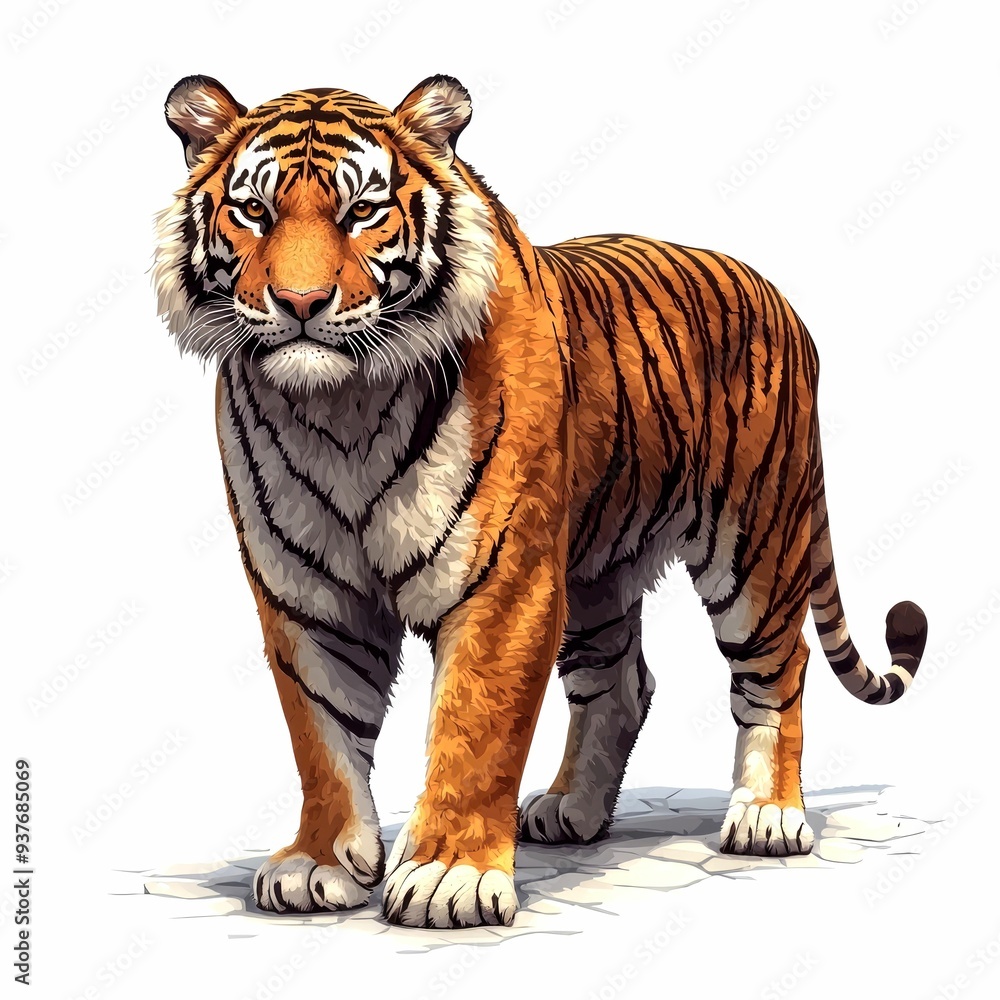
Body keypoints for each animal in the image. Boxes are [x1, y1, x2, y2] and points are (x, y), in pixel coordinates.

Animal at [153, 74, 928, 929]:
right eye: (254, 211)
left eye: (362, 211)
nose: (299, 301)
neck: (340, 411)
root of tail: (777, 296)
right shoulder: (306, 594)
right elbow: (322, 735)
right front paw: (317, 863)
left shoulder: (503, 580)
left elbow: (474, 728)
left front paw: (447, 876)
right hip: (596, 564)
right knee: (622, 684)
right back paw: (571, 811)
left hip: (756, 541)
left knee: (775, 671)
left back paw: (768, 816)